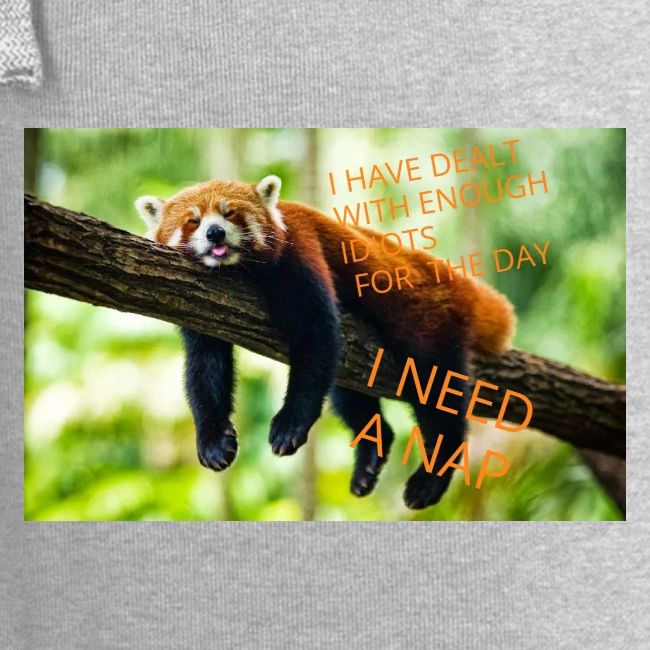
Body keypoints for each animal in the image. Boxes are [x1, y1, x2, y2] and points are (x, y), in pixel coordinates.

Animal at [136, 175, 515, 509]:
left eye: (230, 214)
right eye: (193, 221)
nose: (215, 231)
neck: (239, 270)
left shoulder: (300, 252)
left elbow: (316, 336)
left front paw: (290, 424)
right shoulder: (200, 304)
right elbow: (205, 367)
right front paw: (213, 440)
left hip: (427, 322)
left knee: (436, 391)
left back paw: (431, 477)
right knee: (348, 394)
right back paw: (370, 457)